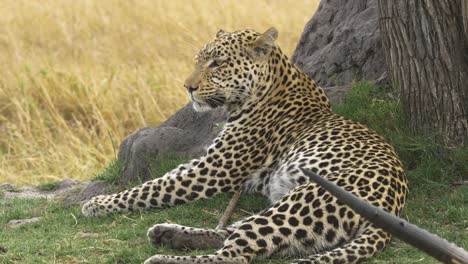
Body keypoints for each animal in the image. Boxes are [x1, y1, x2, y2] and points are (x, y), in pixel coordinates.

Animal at [82, 27, 408, 264]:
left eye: (217, 63)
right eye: (198, 60)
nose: (188, 88)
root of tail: (391, 209)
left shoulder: (215, 169)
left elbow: (153, 188)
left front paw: (98, 203)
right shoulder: (208, 161)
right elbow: (163, 178)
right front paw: (103, 201)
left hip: (303, 200)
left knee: (233, 254)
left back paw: (163, 258)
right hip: (287, 210)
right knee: (231, 233)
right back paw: (169, 233)